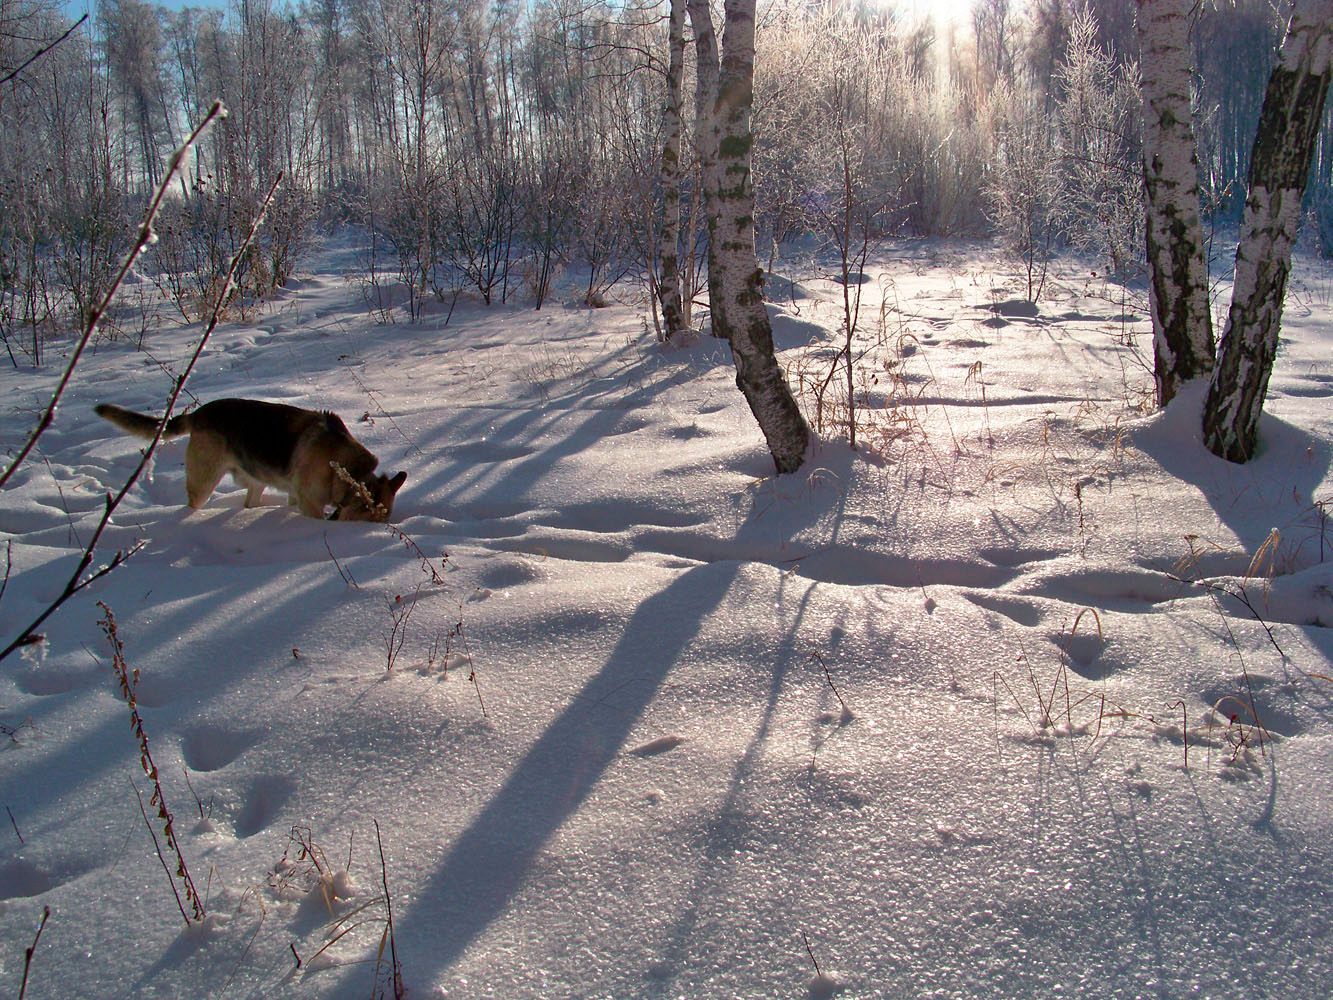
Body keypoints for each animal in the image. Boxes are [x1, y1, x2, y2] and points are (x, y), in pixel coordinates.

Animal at [97, 400, 402, 525]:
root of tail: (198, 414)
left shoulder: (296, 496)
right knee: (193, 504)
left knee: (249, 502)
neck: (348, 471)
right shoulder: (310, 504)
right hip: (203, 483)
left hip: (255, 483)